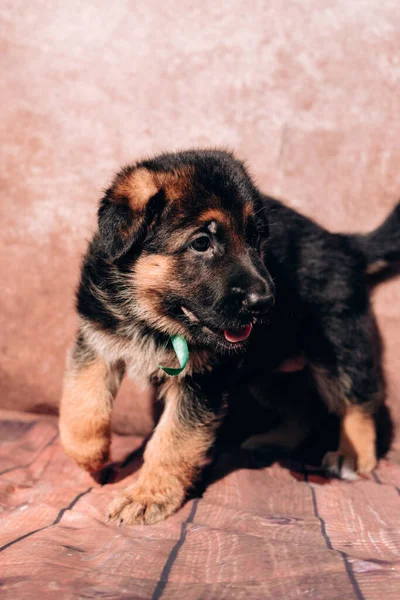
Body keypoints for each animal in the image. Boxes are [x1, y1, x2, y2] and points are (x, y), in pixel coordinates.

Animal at [59, 149, 400, 524]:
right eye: (201, 243)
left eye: (257, 240)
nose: (265, 303)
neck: (152, 316)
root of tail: (343, 243)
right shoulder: (97, 341)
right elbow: (81, 403)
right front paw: (91, 456)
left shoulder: (202, 381)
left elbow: (173, 440)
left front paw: (148, 496)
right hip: (267, 372)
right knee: (304, 408)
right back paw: (274, 441)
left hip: (338, 345)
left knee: (360, 399)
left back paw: (353, 455)